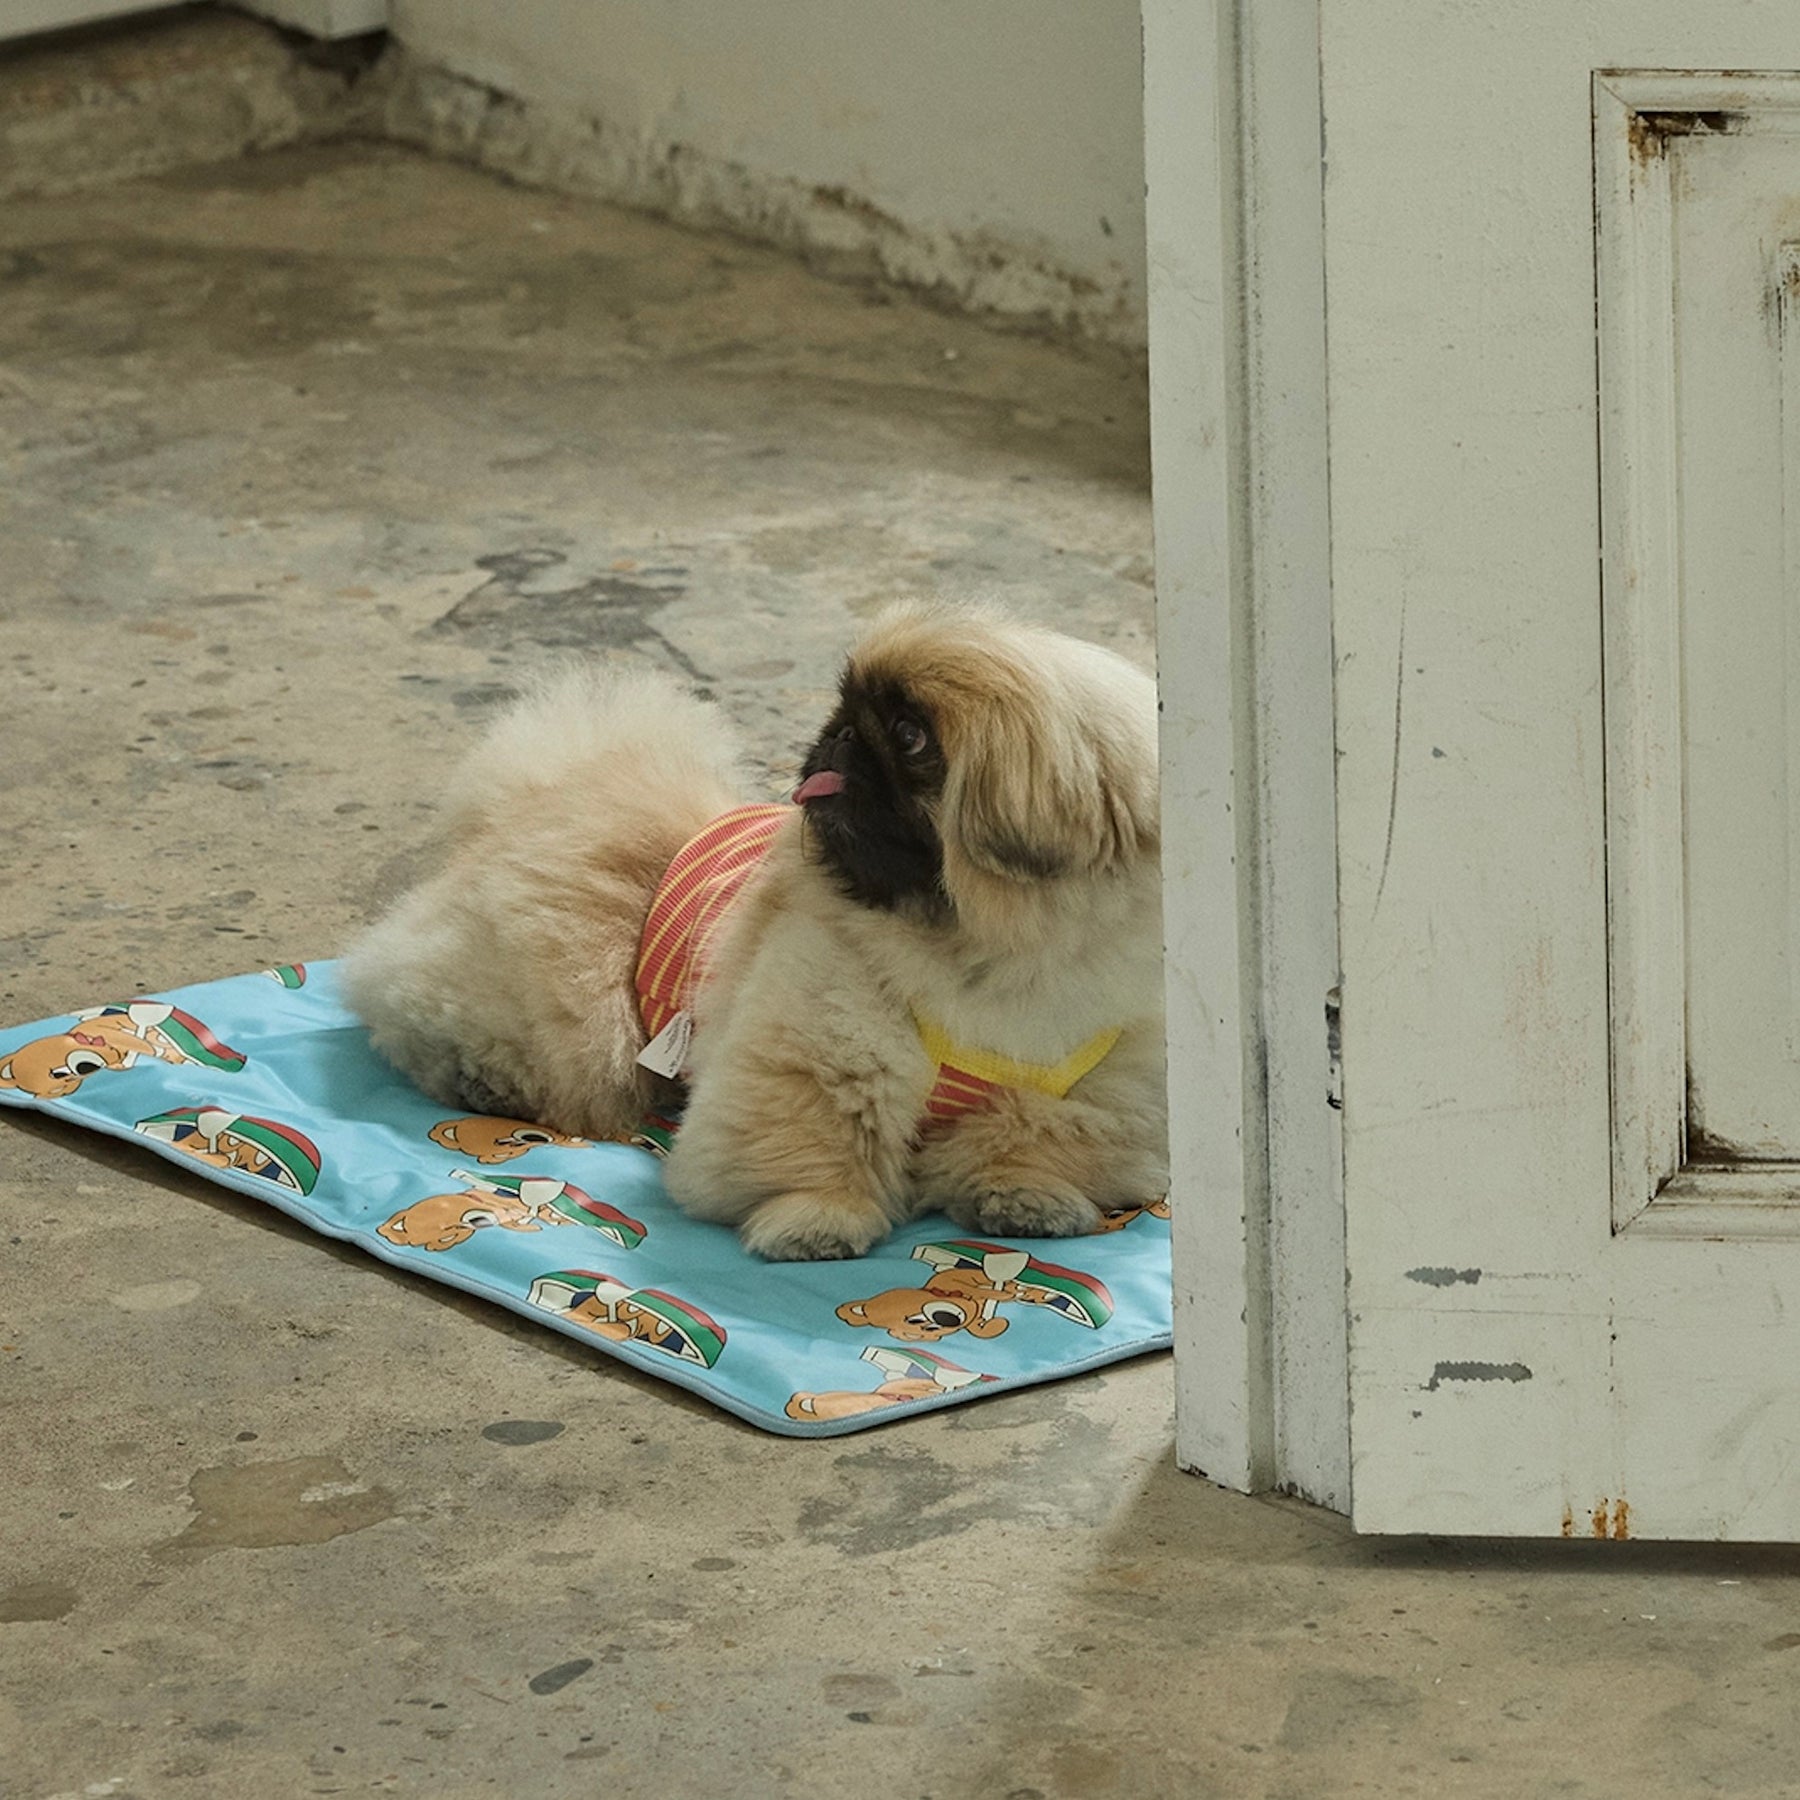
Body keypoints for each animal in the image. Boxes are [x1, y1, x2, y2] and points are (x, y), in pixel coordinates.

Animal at [342, 600, 1167, 1260]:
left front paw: (1025, 1196)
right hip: (567, 1006)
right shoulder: (807, 1064)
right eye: (847, 707)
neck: (983, 955)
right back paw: (484, 1078)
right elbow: (815, 1146)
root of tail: (551, 792)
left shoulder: (1100, 1098)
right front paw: (816, 1221)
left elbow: (1035, 1140)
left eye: (908, 735)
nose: (838, 736)